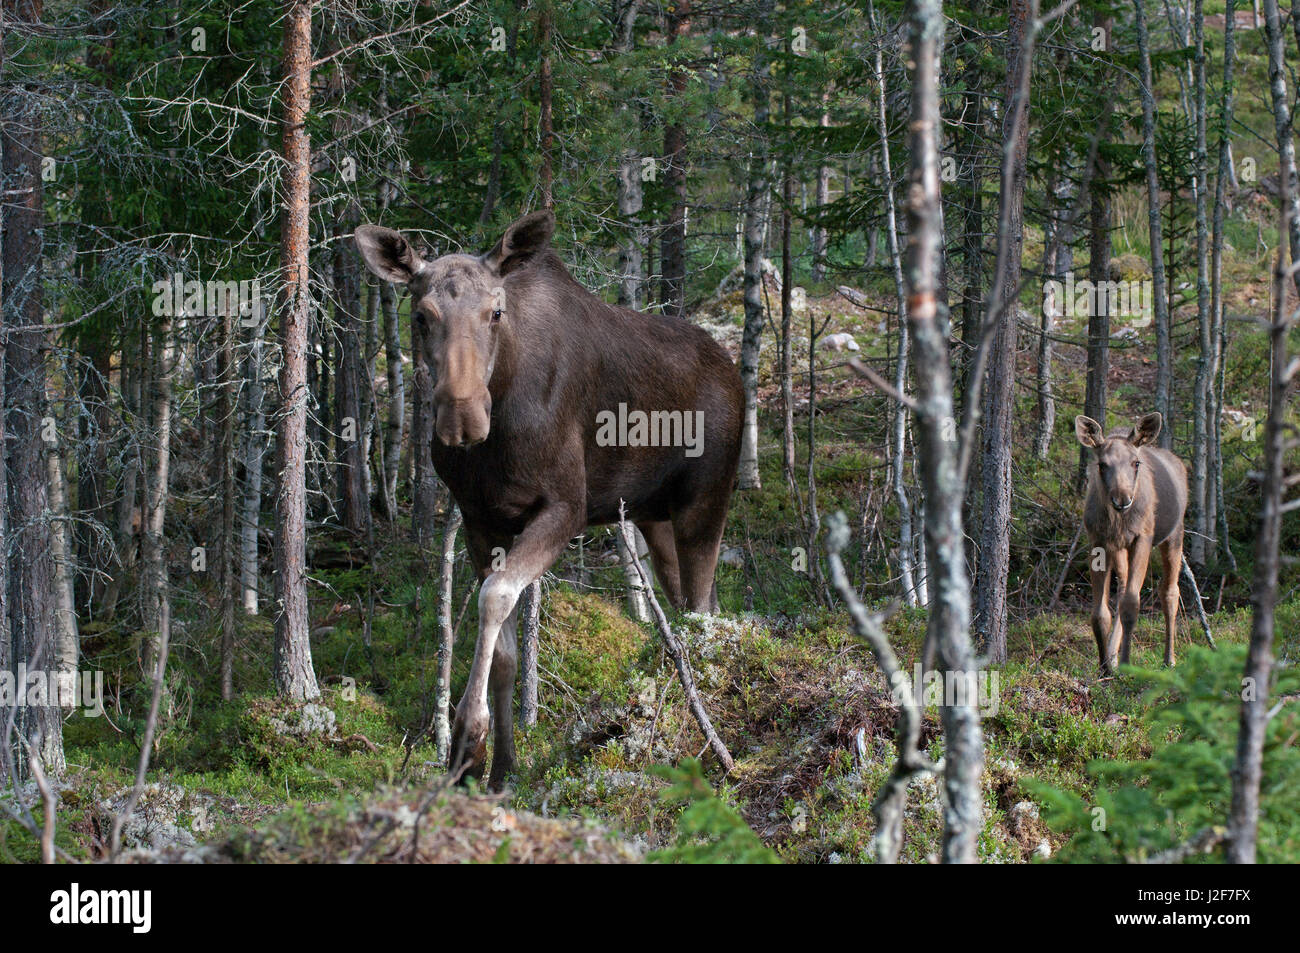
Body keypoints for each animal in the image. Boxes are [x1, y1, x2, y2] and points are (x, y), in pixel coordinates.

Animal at [356, 210, 743, 790]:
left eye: (495, 312)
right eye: (421, 316)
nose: (461, 417)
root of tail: (735, 369)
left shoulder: (564, 508)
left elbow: (495, 598)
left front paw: (467, 740)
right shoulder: (482, 520)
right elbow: (507, 655)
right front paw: (499, 769)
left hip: (706, 501)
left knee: (700, 608)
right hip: (656, 519)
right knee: (696, 603)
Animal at [1076, 413, 1190, 676]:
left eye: (1136, 463)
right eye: (1102, 464)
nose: (1122, 500)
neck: (1117, 520)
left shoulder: (1143, 538)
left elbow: (1131, 603)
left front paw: (1127, 664)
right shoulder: (1098, 540)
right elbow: (1100, 612)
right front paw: (1104, 667)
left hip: (1174, 535)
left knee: (1170, 592)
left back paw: (1169, 659)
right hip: (1119, 549)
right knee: (1124, 586)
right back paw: (1113, 657)